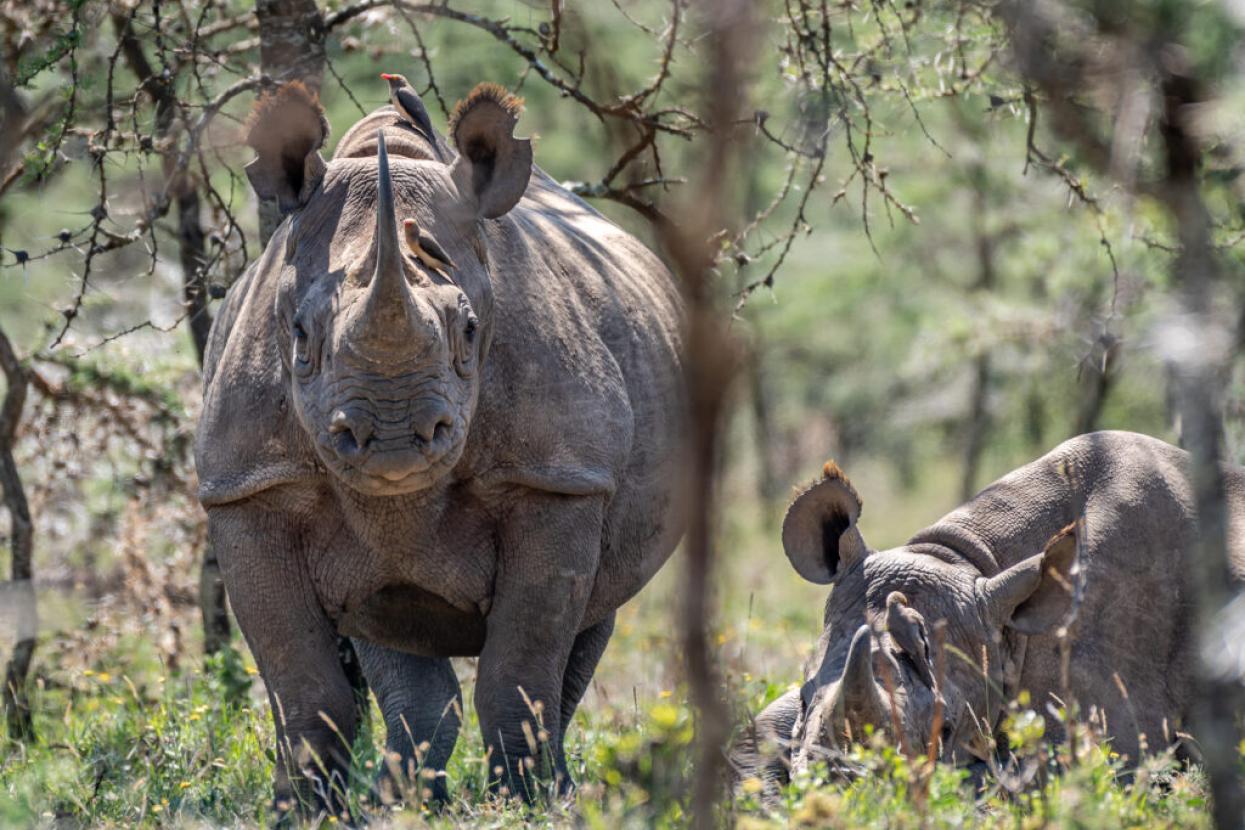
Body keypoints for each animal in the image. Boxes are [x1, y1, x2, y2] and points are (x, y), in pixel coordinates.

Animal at [195, 81, 684, 812]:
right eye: (300, 335)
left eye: (471, 329)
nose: (394, 435)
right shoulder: (247, 486)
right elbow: (305, 685)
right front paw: (301, 814)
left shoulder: (558, 476)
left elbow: (519, 671)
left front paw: (525, 806)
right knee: (389, 624)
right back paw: (397, 803)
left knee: (590, 621)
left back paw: (540, 789)